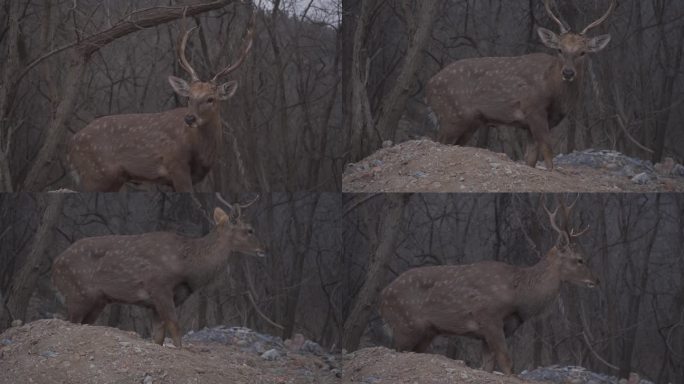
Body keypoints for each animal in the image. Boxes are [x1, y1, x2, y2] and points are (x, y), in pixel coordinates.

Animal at [50, 195, 264, 348]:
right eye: (249, 230)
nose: (262, 250)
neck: (188, 266)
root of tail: (55, 264)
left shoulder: (157, 302)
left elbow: (158, 337)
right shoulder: (160, 287)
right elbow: (175, 329)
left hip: (98, 300)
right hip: (77, 292)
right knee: (71, 321)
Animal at [67, 14, 255, 191]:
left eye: (211, 98)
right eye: (189, 97)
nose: (189, 118)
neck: (202, 152)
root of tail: (72, 143)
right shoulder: (176, 164)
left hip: (112, 179)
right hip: (95, 174)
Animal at [380, 196, 600, 374]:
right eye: (580, 259)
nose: (596, 281)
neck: (520, 295)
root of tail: (382, 295)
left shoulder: (491, 332)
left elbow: (487, 367)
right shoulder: (489, 317)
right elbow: (507, 364)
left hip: (427, 332)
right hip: (405, 325)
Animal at [428, 0, 616, 170]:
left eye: (583, 52)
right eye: (560, 49)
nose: (568, 73)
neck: (554, 93)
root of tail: (429, 86)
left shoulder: (531, 125)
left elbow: (530, 159)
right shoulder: (534, 109)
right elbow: (548, 153)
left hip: (471, 122)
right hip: (450, 115)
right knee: (439, 142)